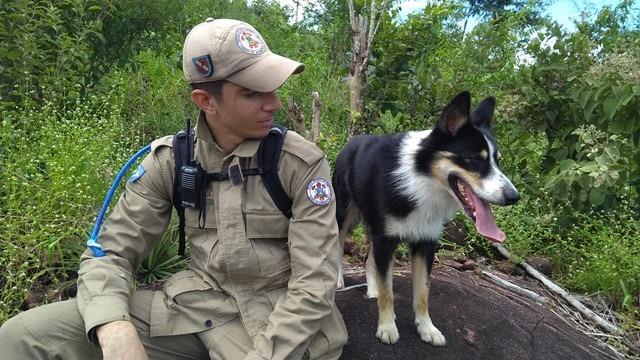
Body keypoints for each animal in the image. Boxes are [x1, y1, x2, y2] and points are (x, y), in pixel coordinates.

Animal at [332, 90, 524, 346]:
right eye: (475, 159)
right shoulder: (386, 239)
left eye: (497, 160)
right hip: (343, 214)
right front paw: (387, 326)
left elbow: (422, 292)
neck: (422, 180)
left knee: (370, 258)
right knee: (338, 245)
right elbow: (388, 290)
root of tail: (352, 141)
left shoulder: (425, 243)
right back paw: (339, 281)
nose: (514, 197)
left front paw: (426, 328)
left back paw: (372, 289)